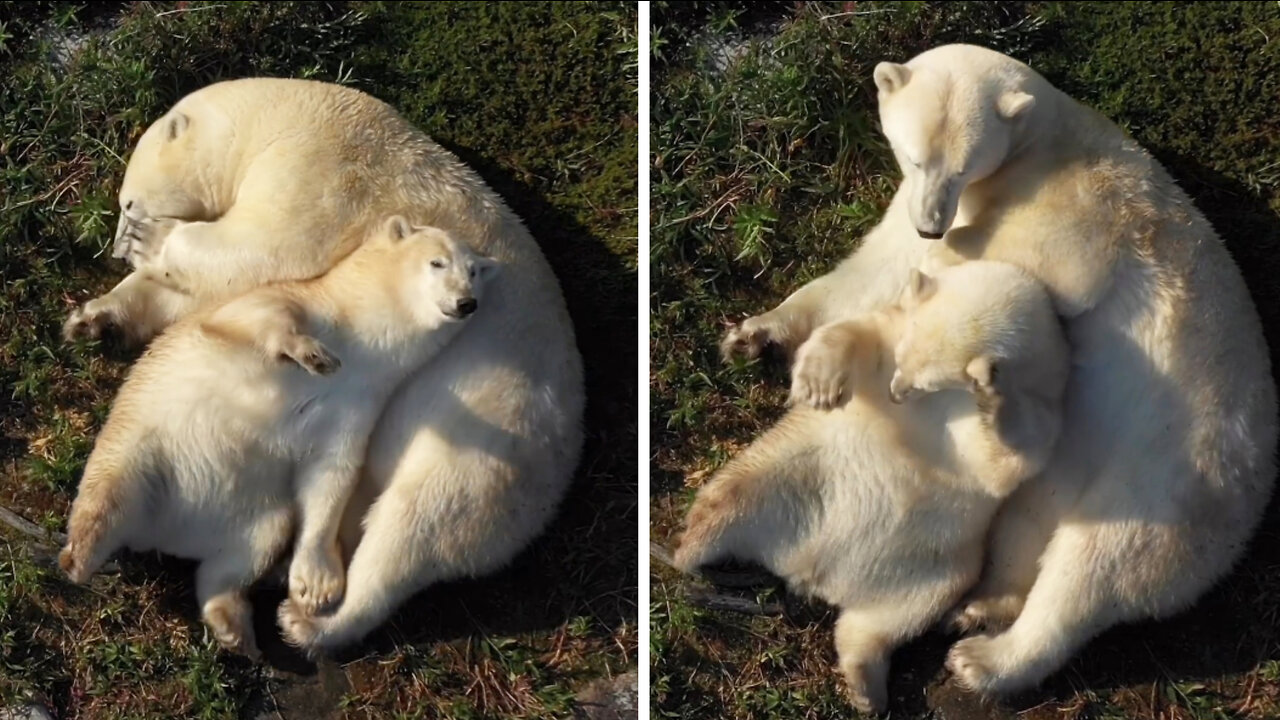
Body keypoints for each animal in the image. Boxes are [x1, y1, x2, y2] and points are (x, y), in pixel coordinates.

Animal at [62, 215, 496, 653]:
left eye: (474, 273)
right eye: (437, 262)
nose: (466, 302)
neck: (363, 344)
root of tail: (167, 534)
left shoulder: (360, 405)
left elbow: (331, 475)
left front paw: (317, 585)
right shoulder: (281, 301)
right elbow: (263, 317)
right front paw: (313, 355)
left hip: (257, 514)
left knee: (244, 554)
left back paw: (234, 626)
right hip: (144, 442)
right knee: (111, 491)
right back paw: (78, 557)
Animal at [680, 257, 1070, 712]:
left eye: (928, 381)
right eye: (903, 360)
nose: (896, 393)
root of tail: (814, 574)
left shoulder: (1045, 410)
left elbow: (1006, 460)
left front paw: (992, 398)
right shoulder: (891, 329)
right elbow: (856, 330)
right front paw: (819, 383)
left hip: (936, 566)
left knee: (892, 619)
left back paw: (866, 686)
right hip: (796, 469)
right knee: (733, 494)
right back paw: (688, 547)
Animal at [721, 41, 1280, 691]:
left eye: (963, 166)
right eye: (915, 156)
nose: (931, 222)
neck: (1042, 140)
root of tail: (1248, 513)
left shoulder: (1079, 213)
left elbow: (1025, 272)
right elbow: (870, 269)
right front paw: (756, 335)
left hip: (1166, 477)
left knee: (1098, 564)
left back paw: (984, 661)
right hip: (1071, 466)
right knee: (1027, 525)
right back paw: (978, 608)